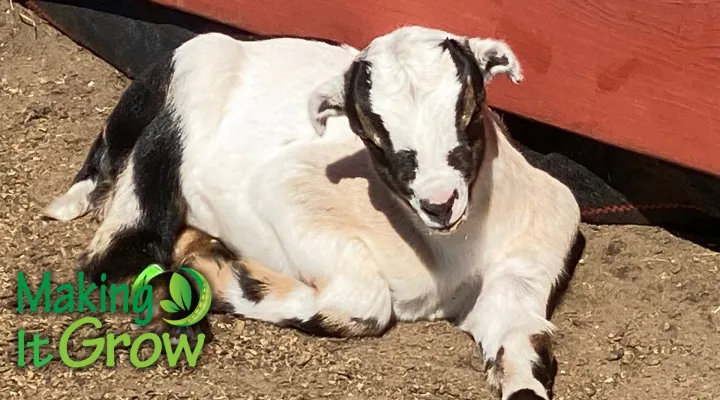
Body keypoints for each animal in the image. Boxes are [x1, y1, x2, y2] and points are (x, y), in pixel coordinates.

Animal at [43, 25, 580, 400]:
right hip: (184, 96)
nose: (439, 202)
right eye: (372, 134)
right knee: (113, 255)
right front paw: (224, 277)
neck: (452, 252)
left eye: (470, 109)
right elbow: (364, 304)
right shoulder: (287, 187)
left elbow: (522, 344)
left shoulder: (524, 271)